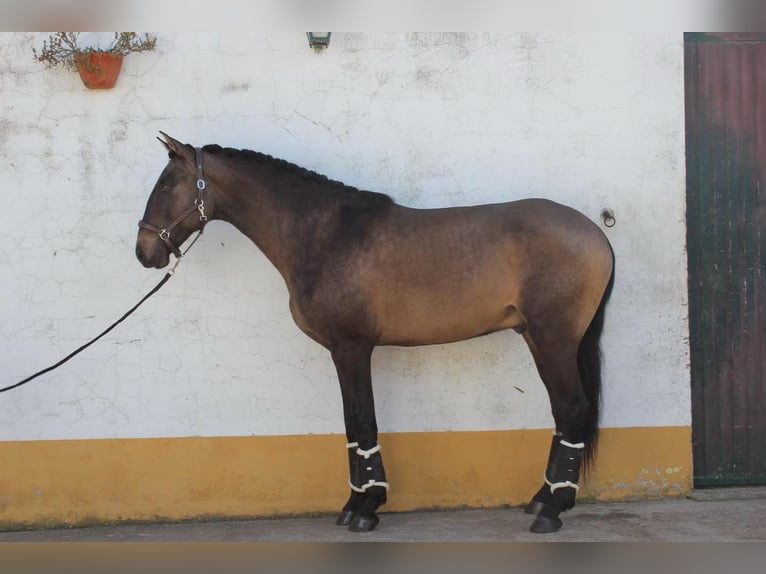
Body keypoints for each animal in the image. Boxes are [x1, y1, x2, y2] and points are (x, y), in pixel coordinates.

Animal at [135, 134, 616, 536]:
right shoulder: (347, 352)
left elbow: (361, 421)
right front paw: (355, 505)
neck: (323, 234)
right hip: (537, 338)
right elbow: (354, 424)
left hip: (554, 339)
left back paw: (552, 511)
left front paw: (366, 509)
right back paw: (542, 499)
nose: (144, 252)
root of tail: (596, 233)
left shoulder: (351, 349)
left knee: (572, 410)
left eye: (167, 184)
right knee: (562, 413)